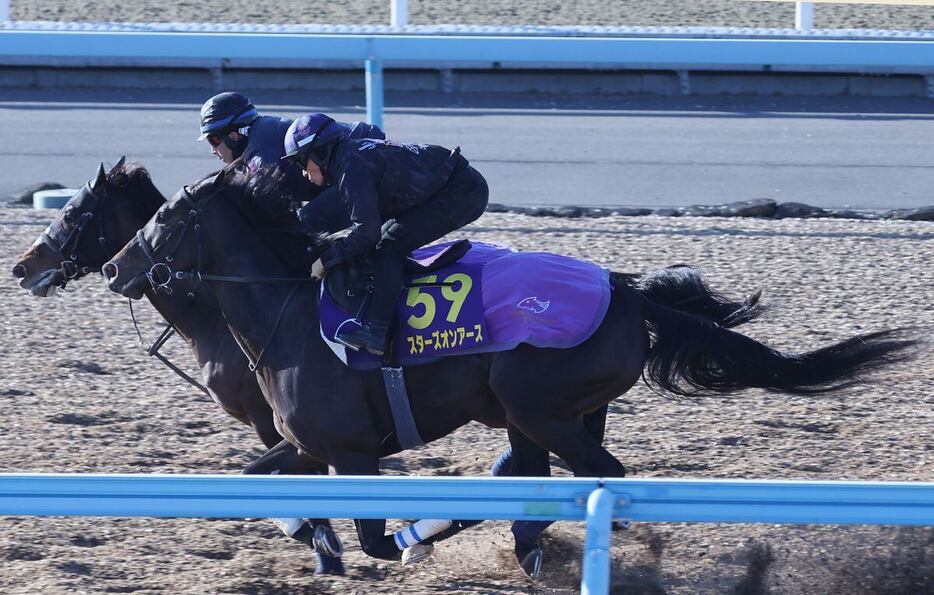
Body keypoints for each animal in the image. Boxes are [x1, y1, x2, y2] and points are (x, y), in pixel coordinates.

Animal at [98, 165, 916, 576]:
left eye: (165, 218)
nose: (114, 267)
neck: (290, 310)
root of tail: (627, 291)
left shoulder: (351, 450)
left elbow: (372, 537)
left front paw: (395, 539)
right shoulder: (307, 444)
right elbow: (254, 476)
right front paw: (331, 539)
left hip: (541, 406)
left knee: (595, 475)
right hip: (547, 410)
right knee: (539, 475)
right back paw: (528, 548)